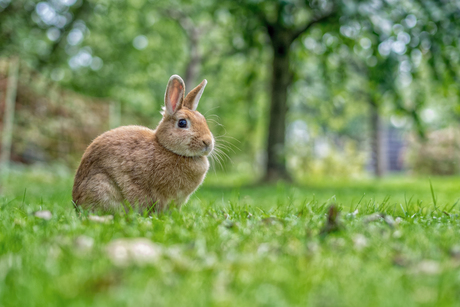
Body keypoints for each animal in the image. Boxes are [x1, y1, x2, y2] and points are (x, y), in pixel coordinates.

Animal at [72, 75, 214, 213]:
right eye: (182, 123)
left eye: (203, 119)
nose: (208, 142)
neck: (167, 148)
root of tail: (76, 201)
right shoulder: (160, 194)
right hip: (101, 185)